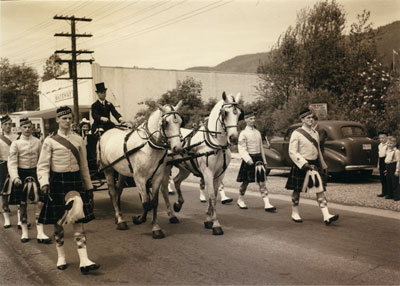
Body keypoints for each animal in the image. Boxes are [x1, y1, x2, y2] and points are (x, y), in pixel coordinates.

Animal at [97, 101, 184, 238]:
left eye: (180, 122)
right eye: (166, 123)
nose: (177, 148)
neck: (149, 146)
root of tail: (105, 133)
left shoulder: (157, 176)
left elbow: (154, 202)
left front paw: (156, 228)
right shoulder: (139, 178)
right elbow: (146, 203)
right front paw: (138, 219)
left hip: (121, 172)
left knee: (118, 191)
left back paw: (119, 216)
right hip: (108, 169)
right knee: (112, 192)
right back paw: (120, 220)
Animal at [161, 92, 242, 236]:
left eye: (238, 113)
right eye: (225, 113)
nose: (233, 138)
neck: (217, 144)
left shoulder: (219, 174)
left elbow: (214, 195)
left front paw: (208, 220)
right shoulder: (208, 173)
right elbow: (211, 196)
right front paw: (216, 224)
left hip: (185, 168)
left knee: (176, 181)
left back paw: (178, 204)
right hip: (165, 168)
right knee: (164, 189)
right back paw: (171, 215)